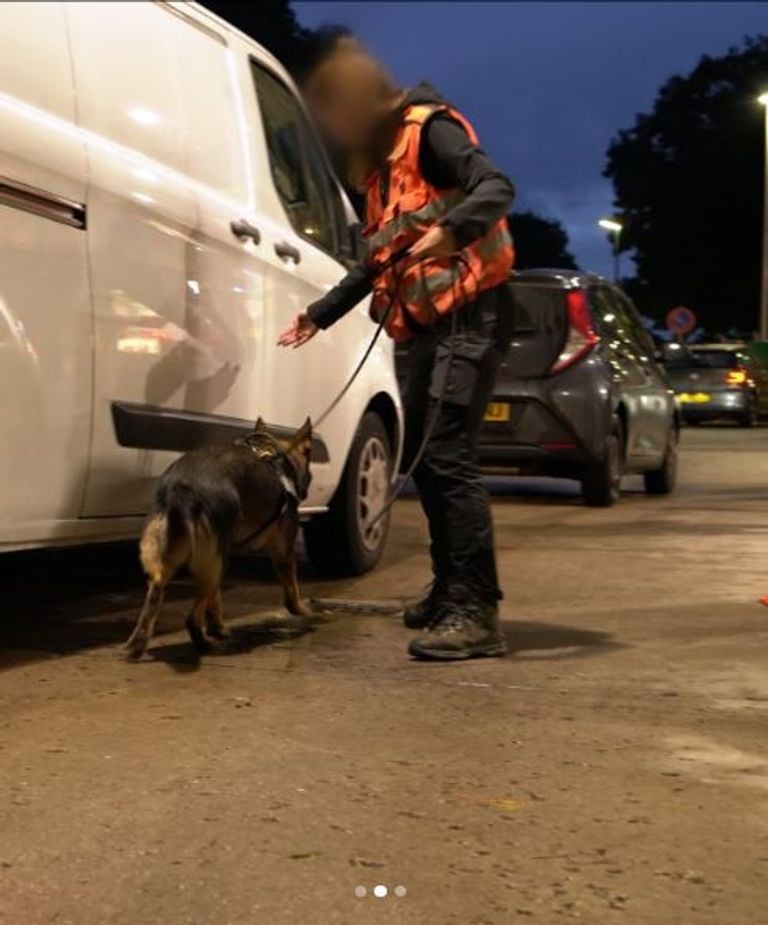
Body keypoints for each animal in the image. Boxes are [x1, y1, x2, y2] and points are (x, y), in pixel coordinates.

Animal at [126, 418, 312, 656]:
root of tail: (183, 487)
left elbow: (215, 603)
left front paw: (218, 628)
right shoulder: (284, 552)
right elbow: (292, 590)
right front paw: (302, 610)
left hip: (183, 559)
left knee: (158, 594)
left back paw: (138, 645)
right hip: (217, 562)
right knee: (192, 617)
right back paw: (204, 643)